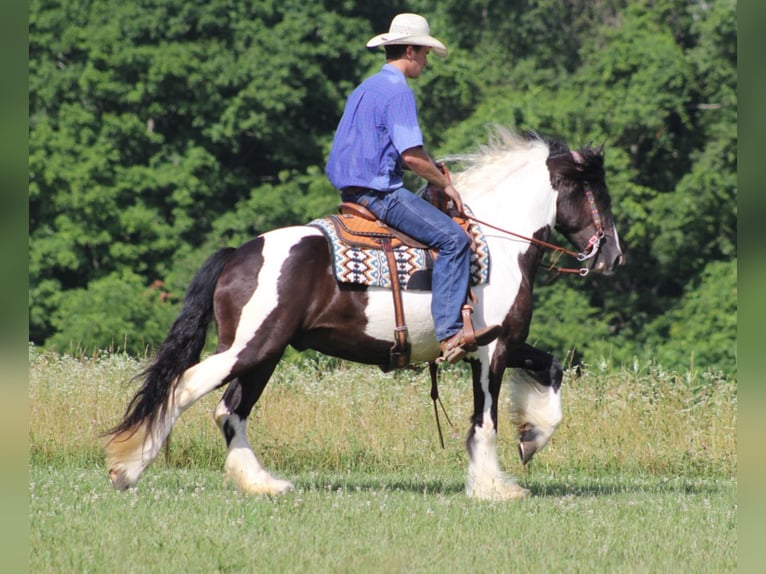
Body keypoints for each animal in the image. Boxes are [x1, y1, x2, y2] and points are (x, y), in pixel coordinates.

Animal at [106, 129, 624, 500]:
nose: (612, 256)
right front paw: (493, 486)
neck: (497, 245)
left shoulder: (508, 344)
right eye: (598, 195)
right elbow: (485, 420)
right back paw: (127, 469)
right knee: (187, 387)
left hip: (264, 354)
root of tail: (239, 254)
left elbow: (550, 368)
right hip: (250, 348)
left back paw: (263, 484)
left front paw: (532, 436)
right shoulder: (488, 351)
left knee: (230, 410)